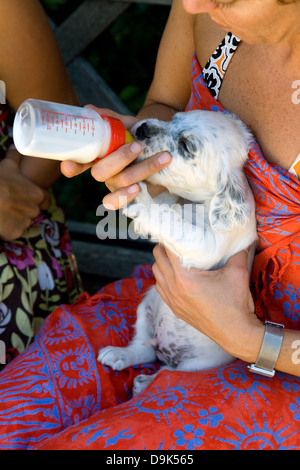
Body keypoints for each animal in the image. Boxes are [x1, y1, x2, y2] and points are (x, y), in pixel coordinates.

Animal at [97, 109, 256, 392]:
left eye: (186, 146)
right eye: (174, 118)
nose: (143, 127)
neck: (195, 203)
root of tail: (166, 349)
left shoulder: (209, 245)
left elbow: (175, 223)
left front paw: (143, 204)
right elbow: (167, 206)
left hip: (197, 366)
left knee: (166, 374)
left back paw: (144, 382)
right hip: (147, 304)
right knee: (143, 347)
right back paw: (120, 354)